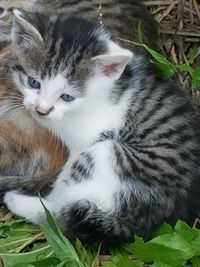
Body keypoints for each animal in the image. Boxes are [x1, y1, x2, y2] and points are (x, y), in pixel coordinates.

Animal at [2, 9, 200, 245]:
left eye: (67, 97)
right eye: (33, 82)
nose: (42, 110)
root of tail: (139, 226)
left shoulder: (86, 141)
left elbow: (62, 181)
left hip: (107, 155)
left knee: (62, 211)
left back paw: (20, 201)